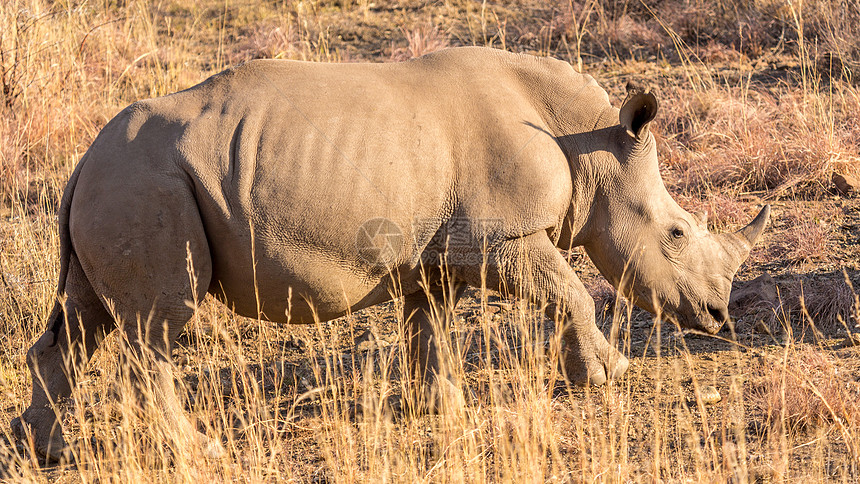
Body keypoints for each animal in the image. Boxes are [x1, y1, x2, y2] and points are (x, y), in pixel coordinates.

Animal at [11, 47, 764, 460]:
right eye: (677, 234)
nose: (720, 318)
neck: (592, 145)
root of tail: (81, 162)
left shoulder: (439, 252)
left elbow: (430, 321)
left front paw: (443, 408)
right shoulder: (501, 236)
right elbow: (567, 289)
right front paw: (608, 376)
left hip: (123, 182)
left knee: (83, 321)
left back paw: (47, 451)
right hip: (145, 183)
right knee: (155, 329)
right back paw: (199, 450)